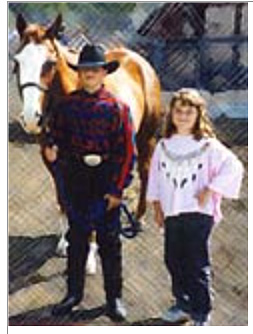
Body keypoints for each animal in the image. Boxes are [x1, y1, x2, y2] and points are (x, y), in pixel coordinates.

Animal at [12, 13, 160, 266]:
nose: (32, 119)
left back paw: (138, 219)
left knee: (145, 172)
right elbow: (63, 199)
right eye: (17, 61)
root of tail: (138, 60)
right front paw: (65, 242)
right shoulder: (53, 161)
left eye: (49, 63)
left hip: (146, 138)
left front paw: (89, 254)